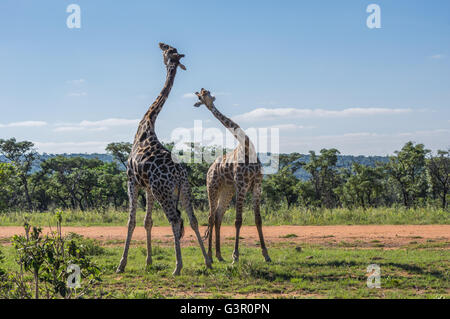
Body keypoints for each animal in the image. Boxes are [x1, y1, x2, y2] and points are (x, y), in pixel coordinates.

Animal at [118, 43, 213, 276]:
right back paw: (207, 261)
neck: (147, 125)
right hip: (184, 189)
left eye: (168, 50)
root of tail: (178, 175)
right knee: (193, 220)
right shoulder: (148, 187)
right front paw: (148, 262)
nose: (161, 44)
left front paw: (122, 264)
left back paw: (178, 266)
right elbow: (147, 221)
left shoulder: (132, 181)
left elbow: (131, 221)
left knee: (175, 219)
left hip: (164, 191)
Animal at [193, 88, 270, 264]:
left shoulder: (257, 185)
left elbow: (258, 219)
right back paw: (210, 256)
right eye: (200, 97)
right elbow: (238, 221)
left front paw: (266, 254)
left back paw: (219, 255)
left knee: (218, 216)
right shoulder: (242, 185)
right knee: (211, 217)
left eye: (207, 94)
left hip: (227, 191)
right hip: (212, 187)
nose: (208, 100)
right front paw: (235, 256)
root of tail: (209, 169)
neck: (247, 147)